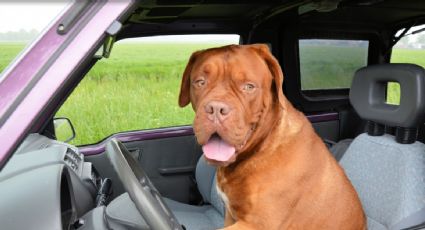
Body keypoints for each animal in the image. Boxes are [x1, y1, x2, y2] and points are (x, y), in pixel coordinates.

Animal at [178, 44, 364, 229]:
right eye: (200, 82)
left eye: (249, 86)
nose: (216, 109)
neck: (263, 145)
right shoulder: (231, 214)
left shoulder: (257, 223)